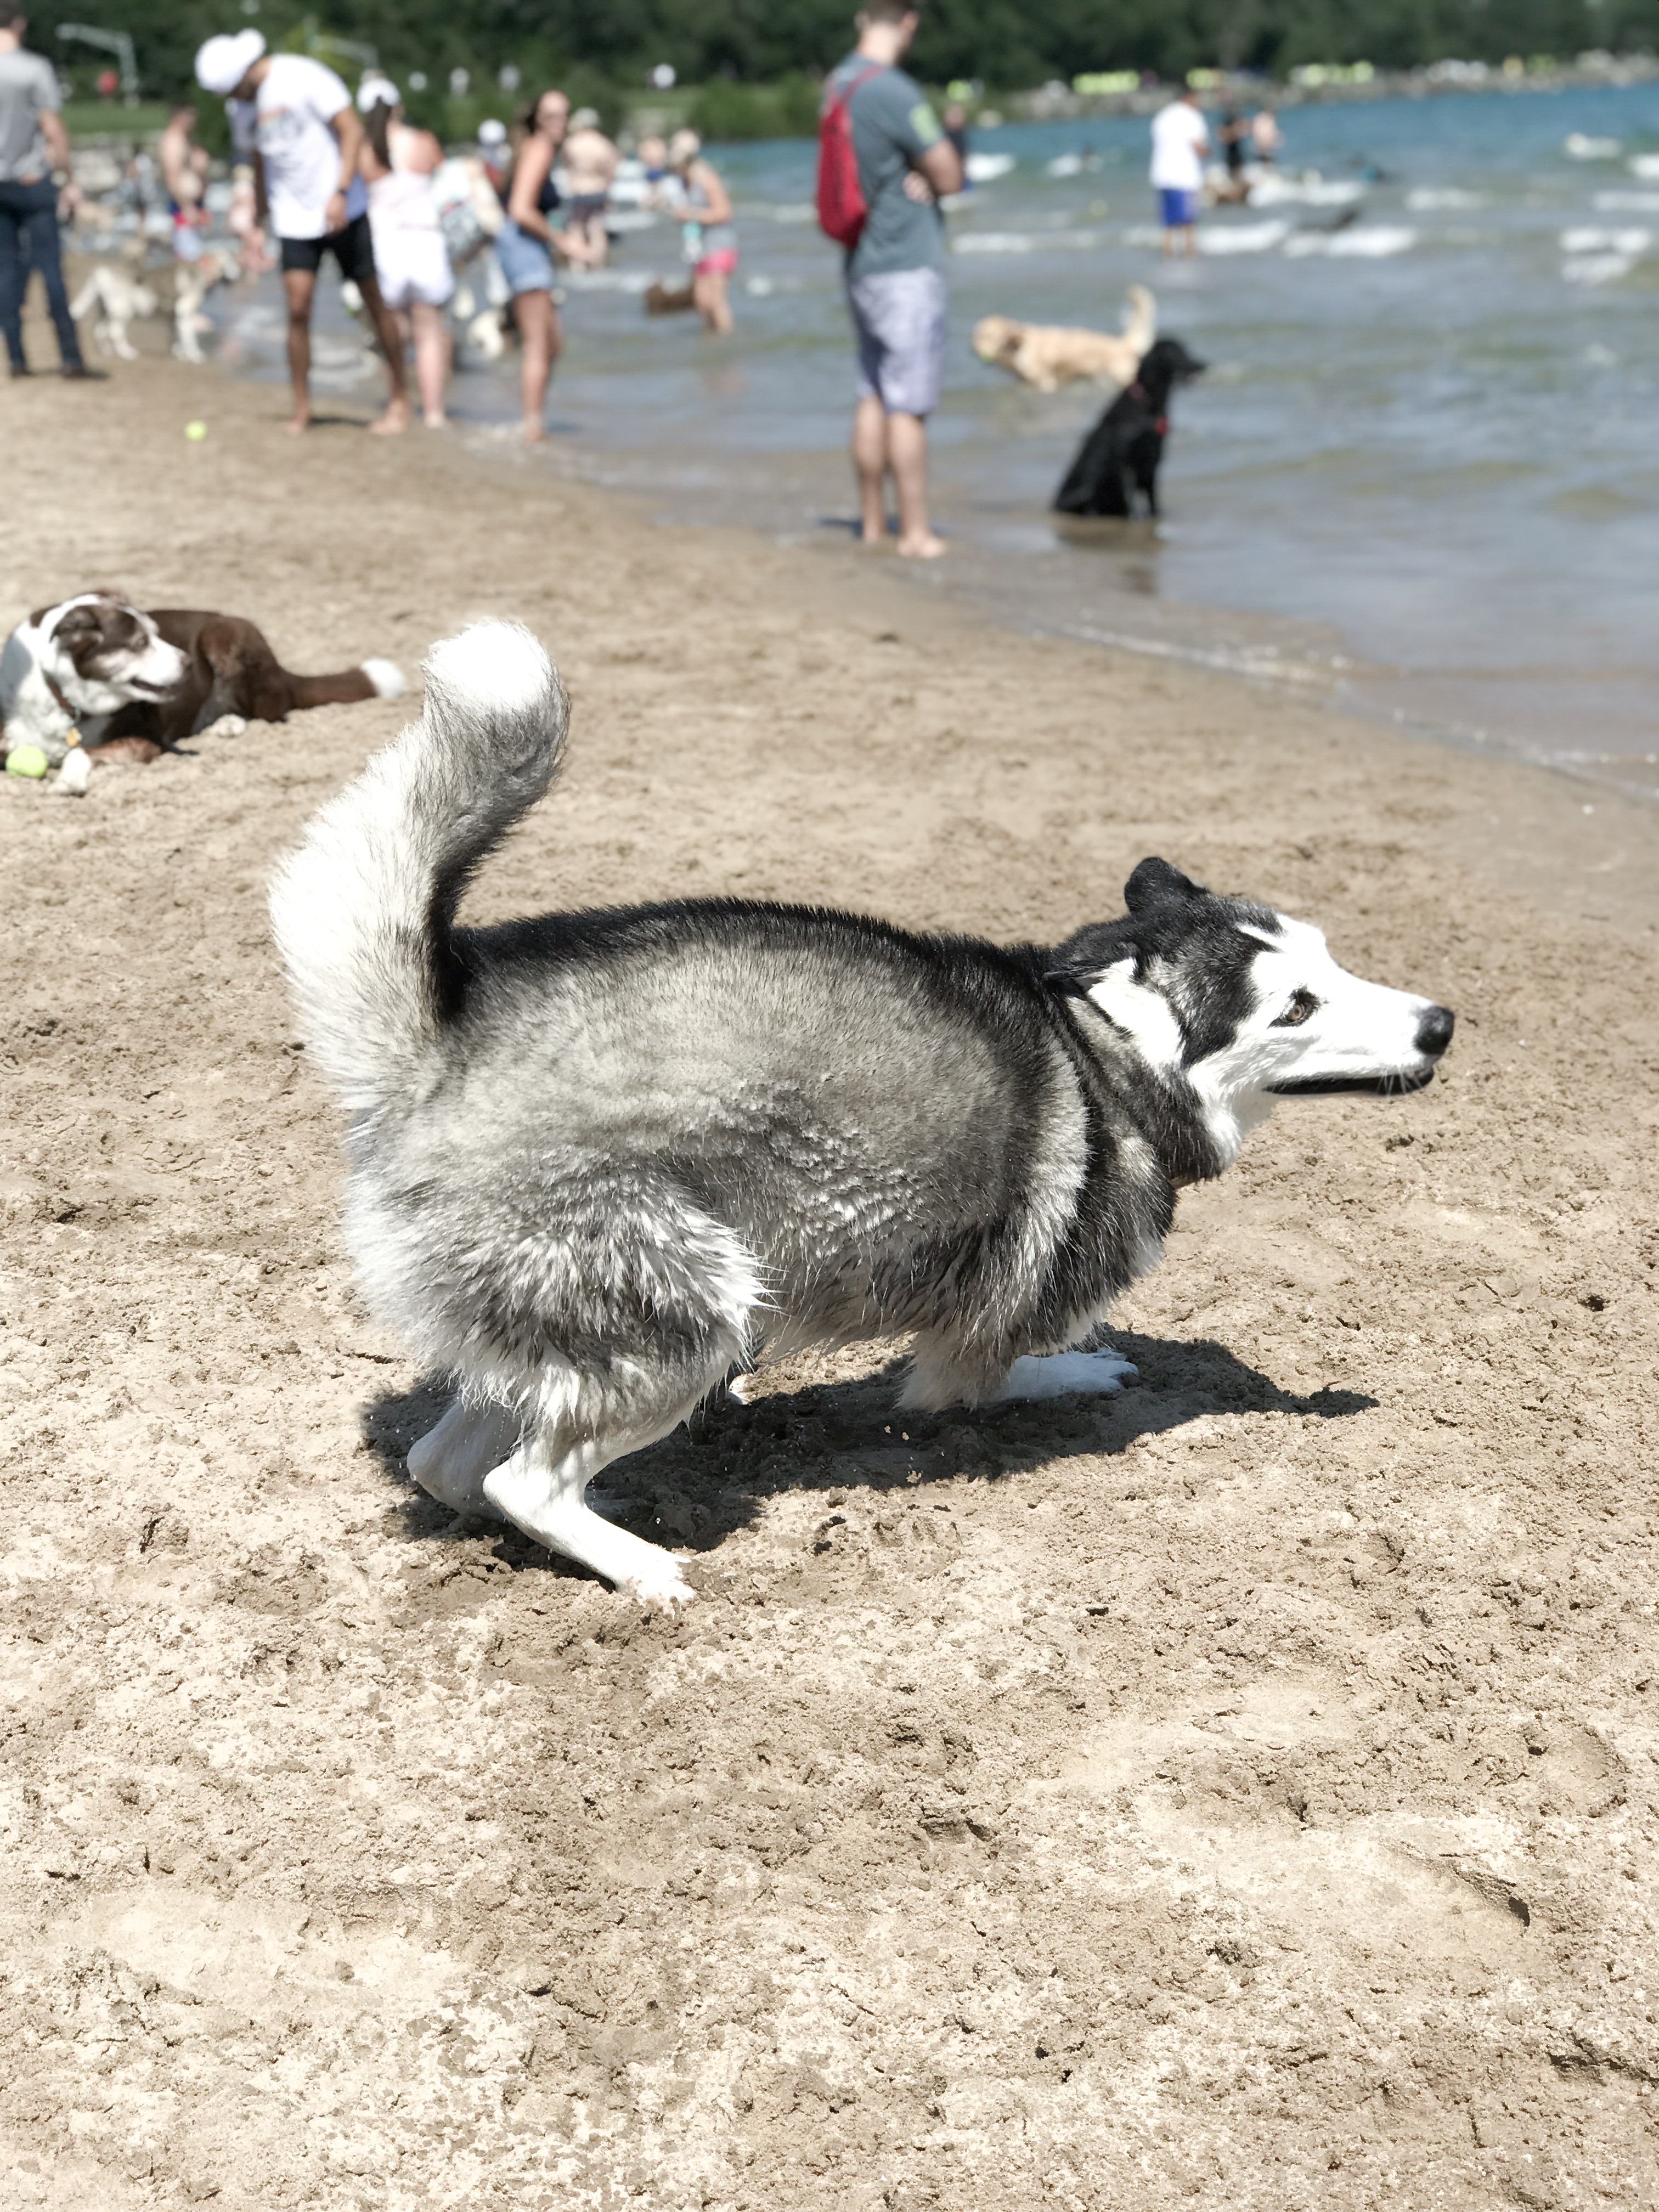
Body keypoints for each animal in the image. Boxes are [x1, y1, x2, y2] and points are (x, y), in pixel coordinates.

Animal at [2, 597, 407, 770]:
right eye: (141, 643)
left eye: (156, 634)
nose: (187, 661)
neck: (65, 695)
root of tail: (282, 669)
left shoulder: (147, 740)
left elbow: (80, 752)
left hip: (226, 634)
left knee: (274, 711)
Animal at [269, 624, 1451, 1610]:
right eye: (1295, 1007)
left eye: (1334, 958)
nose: (1440, 1023)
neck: (1103, 1044)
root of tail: (437, 1051)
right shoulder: (985, 1322)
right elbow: (979, 1375)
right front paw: (1066, 1370)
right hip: (697, 1314)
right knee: (526, 1480)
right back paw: (641, 1566)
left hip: (562, 1333)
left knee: (450, 1463)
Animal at [973, 283, 1159, 396]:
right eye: (976, 337)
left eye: (989, 337)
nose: (973, 351)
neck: (1019, 347)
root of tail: (1123, 344)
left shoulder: (1045, 381)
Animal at [1057, 336, 1212, 517]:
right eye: (1173, 353)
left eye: (1185, 350)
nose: (1203, 365)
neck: (1149, 404)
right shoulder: (1125, 464)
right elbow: (1130, 501)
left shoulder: (1153, 463)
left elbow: (1153, 503)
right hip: (1083, 492)